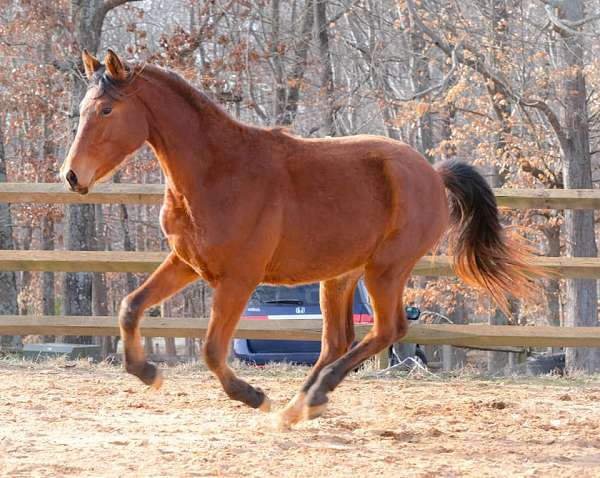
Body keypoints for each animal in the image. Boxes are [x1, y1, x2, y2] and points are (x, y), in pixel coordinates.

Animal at [61, 50, 536, 428]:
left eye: (106, 109)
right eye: (84, 108)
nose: (71, 176)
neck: (218, 171)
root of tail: (434, 174)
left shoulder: (238, 279)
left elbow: (213, 350)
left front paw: (254, 396)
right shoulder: (185, 263)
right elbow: (130, 307)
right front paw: (148, 372)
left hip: (385, 270)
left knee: (387, 330)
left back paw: (310, 398)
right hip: (341, 275)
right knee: (337, 341)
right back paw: (302, 404)